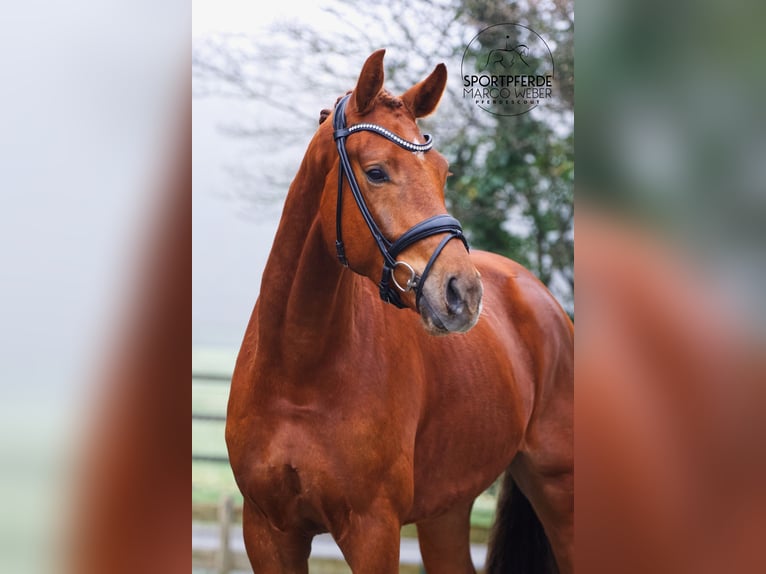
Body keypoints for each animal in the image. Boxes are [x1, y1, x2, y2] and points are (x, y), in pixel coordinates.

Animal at [226, 49, 573, 573]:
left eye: (444, 173)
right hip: (446, 510)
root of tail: (541, 296)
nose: (462, 293)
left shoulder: (374, 531)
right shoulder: (268, 532)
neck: (297, 371)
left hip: (558, 490)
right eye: (375, 172)